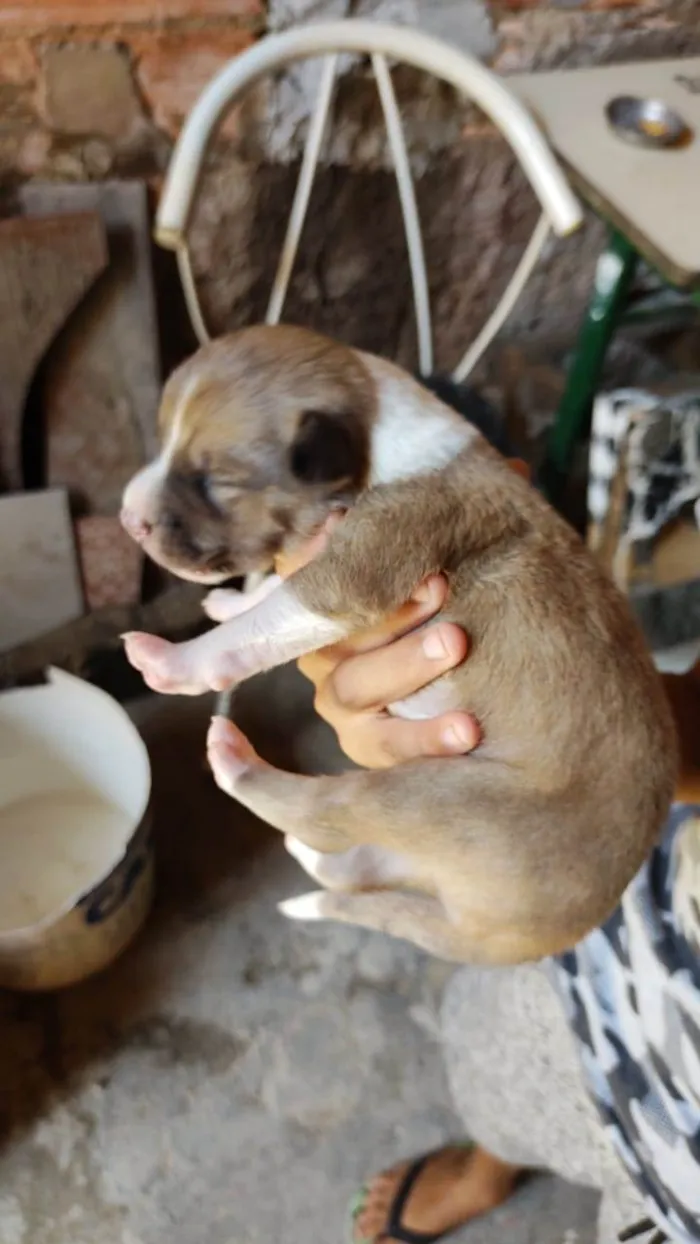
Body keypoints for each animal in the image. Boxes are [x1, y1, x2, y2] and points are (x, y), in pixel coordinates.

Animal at [120, 320, 681, 960]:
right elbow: (272, 595)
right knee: (358, 863)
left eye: (217, 480)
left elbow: (273, 614)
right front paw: (230, 603)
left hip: (447, 800)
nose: (127, 517)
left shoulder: (363, 563)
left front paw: (177, 661)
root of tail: (516, 937)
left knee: (323, 811)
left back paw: (234, 759)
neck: (381, 438)